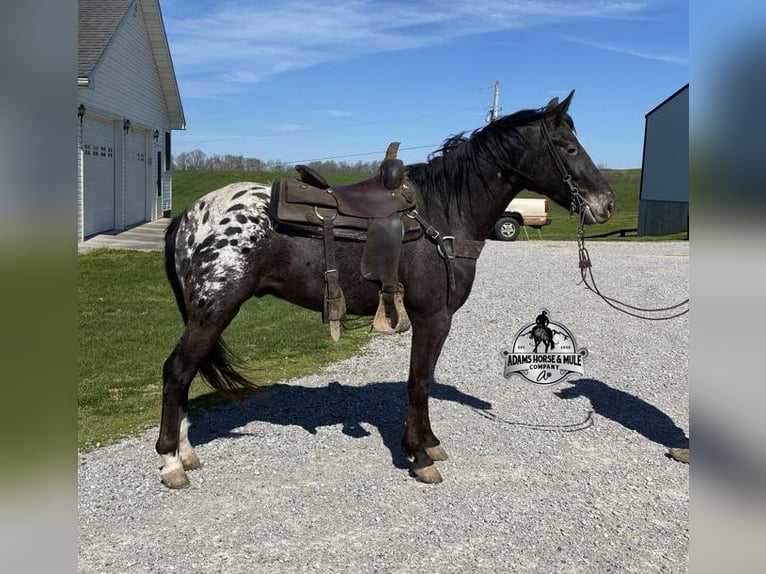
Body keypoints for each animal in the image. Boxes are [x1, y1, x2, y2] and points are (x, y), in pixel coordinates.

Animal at [156, 91, 615, 488]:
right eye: (568, 147)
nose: (605, 203)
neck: (443, 216)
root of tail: (188, 216)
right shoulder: (433, 317)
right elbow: (419, 382)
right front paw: (420, 456)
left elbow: (423, 378)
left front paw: (429, 443)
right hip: (213, 311)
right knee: (176, 371)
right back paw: (172, 461)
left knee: (185, 374)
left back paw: (186, 453)